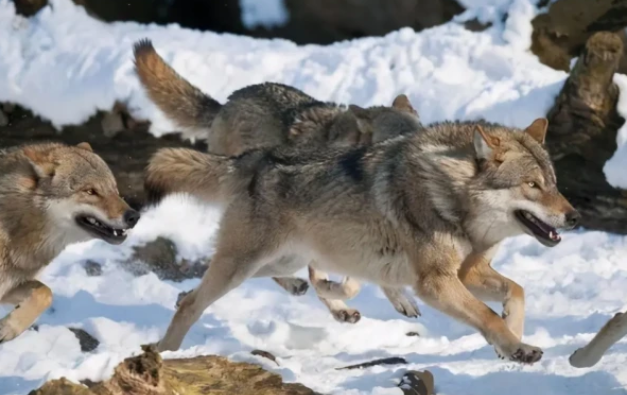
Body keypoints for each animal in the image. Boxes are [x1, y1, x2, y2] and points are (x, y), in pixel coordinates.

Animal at [0, 142, 141, 344]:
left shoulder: (10, 285)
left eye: (114, 190)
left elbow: (46, 293)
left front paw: (9, 327)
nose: (134, 216)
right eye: (90, 191)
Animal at [145, 117, 580, 362]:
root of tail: (256, 158)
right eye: (532, 185)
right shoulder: (436, 283)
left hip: (279, 259)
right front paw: (518, 348)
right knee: (193, 302)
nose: (575, 217)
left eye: (554, 184)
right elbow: (487, 314)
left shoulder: (468, 273)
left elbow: (517, 292)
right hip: (243, 264)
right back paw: (164, 352)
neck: (451, 196)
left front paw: (513, 340)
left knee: (228, 287)